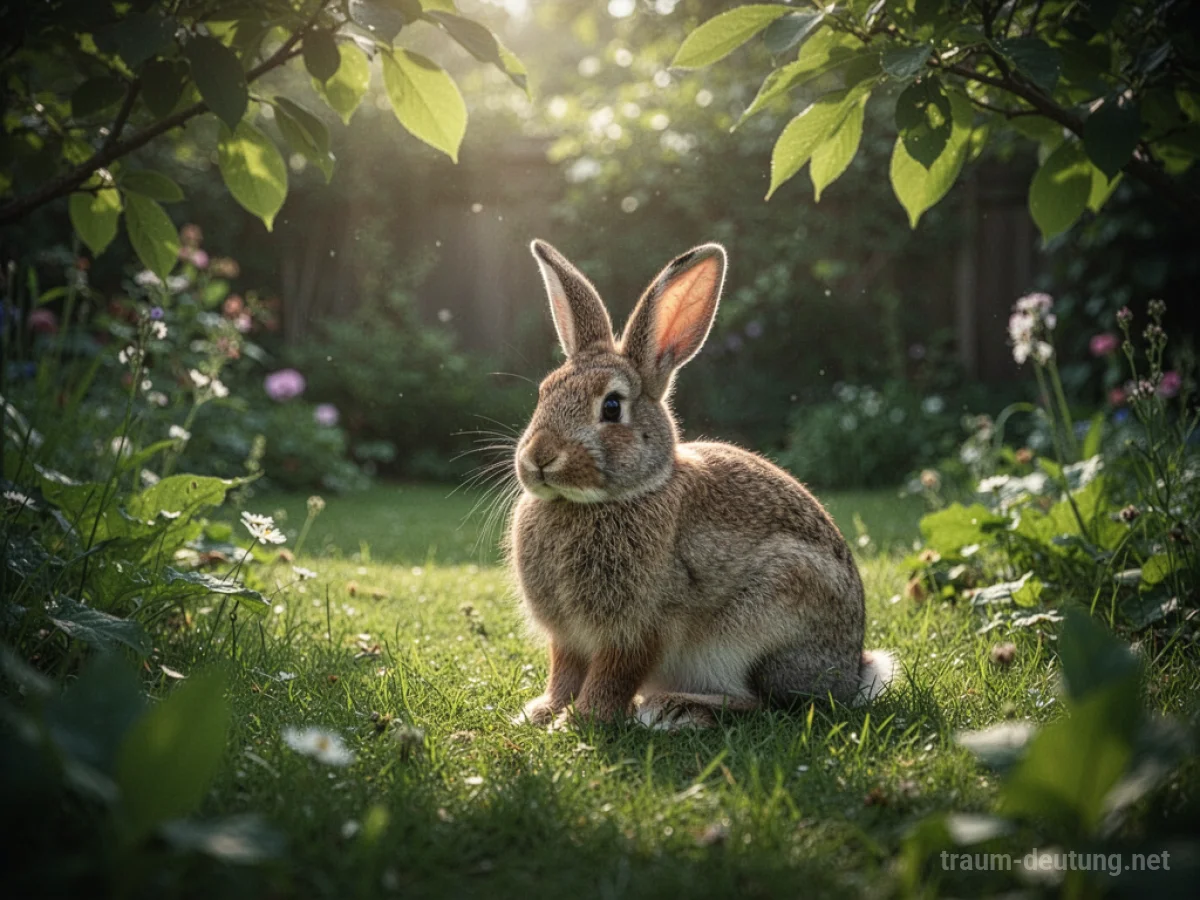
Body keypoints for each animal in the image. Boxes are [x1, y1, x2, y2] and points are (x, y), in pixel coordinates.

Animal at [509, 239, 895, 730]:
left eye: (612, 407)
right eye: (544, 392)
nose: (539, 457)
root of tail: (851, 673)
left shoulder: (643, 627)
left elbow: (613, 675)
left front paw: (584, 719)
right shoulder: (568, 638)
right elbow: (564, 670)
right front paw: (542, 712)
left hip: (766, 622)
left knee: (766, 704)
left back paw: (676, 708)